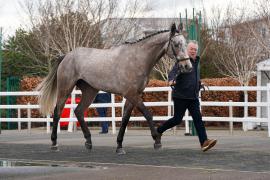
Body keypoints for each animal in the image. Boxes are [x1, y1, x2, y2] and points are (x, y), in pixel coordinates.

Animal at [38, 23, 192, 154]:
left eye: (185, 44)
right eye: (176, 44)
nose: (187, 67)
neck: (137, 59)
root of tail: (66, 56)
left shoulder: (133, 96)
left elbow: (125, 119)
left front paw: (119, 146)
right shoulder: (131, 94)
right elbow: (148, 114)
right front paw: (157, 141)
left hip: (90, 91)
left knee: (79, 111)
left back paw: (88, 142)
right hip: (65, 89)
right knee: (57, 112)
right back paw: (54, 144)